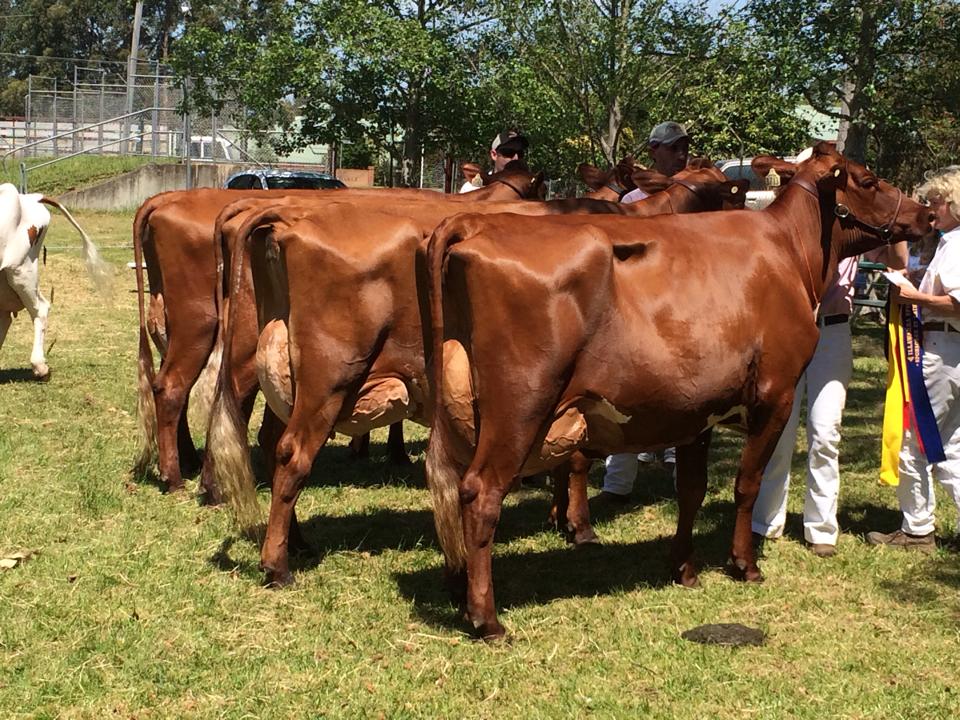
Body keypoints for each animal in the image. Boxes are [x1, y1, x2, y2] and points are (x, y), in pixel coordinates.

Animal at [208, 167, 752, 584]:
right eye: (727, 190)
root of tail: (287, 213)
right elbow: (576, 459)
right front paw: (578, 526)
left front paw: (558, 514)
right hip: (325, 376)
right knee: (290, 452)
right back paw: (276, 562)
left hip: (284, 375)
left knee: (269, 440)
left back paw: (294, 542)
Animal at [424, 142, 932, 636]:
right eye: (868, 180)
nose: (926, 213)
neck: (789, 250)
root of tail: (471, 225)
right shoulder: (775, 396)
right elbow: (746, 484)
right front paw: (744, 564)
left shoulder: (698, 409)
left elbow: (692, 490)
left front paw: (684, 568)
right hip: (520, 405)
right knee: (480, 492)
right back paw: (487, 618)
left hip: (461, 402)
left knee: (450, 487)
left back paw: (460, 589)